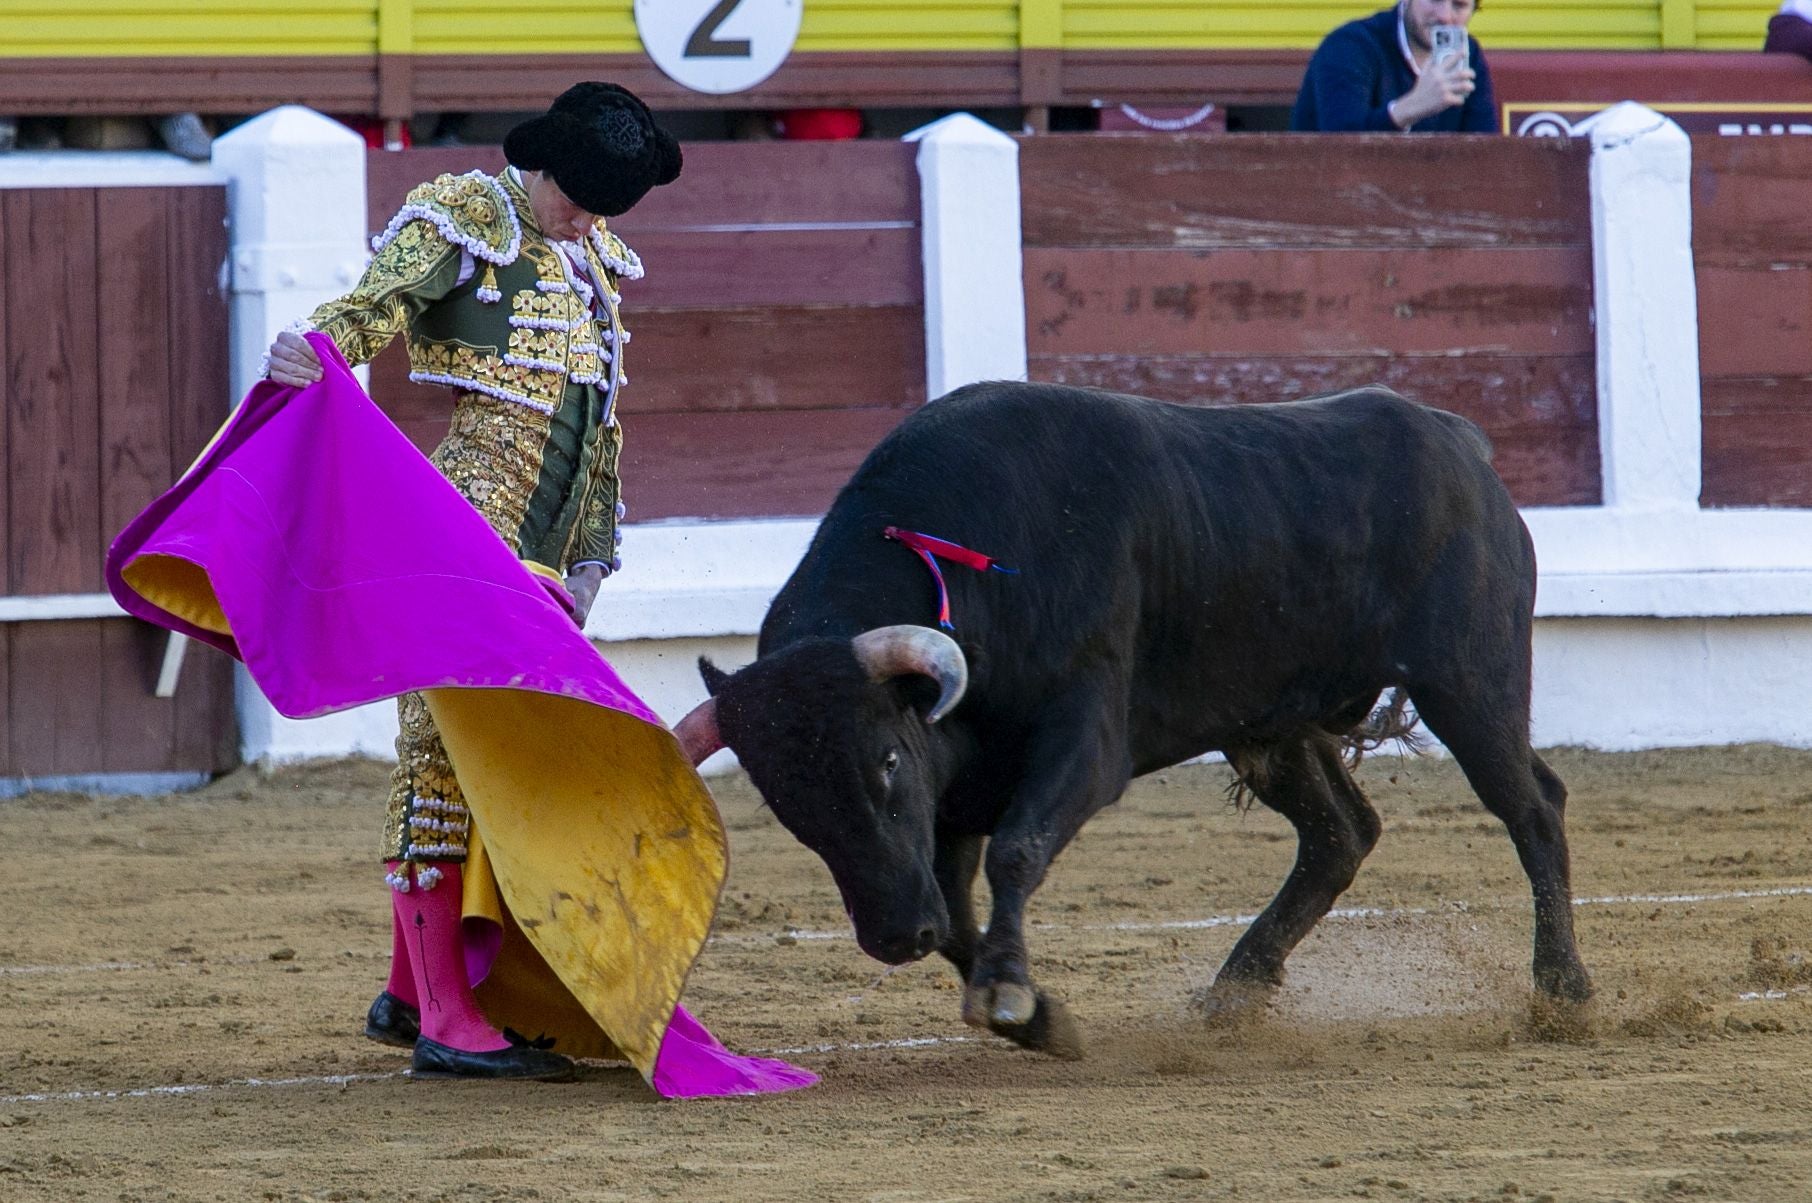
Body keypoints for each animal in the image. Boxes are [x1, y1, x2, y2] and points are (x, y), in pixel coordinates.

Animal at [674, 382, 1594, 1050]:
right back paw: (1233, 992)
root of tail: (1459, 441)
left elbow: (1018, 849)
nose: (896, 933)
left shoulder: (1085, 737)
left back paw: (1563, 995)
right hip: (1269, 723)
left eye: (886, 760)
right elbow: (959, 906)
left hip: (1469, 681)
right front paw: (1041, 1018)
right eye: (787, 804)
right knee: (1342, 831)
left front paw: (1007, 991)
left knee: (1532, 805)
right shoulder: (958, 786)